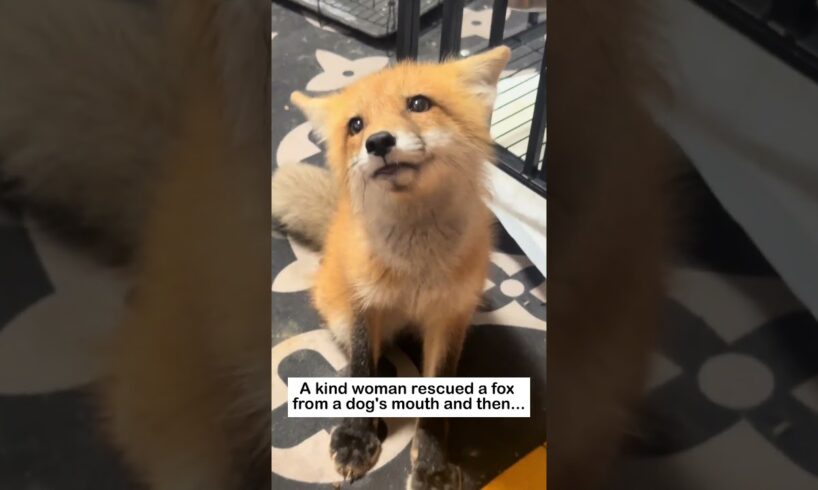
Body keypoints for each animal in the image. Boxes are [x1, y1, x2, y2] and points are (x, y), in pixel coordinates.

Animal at [271, 46, 512, 489]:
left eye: (418, 104)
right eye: (356, 125)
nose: (379, 141)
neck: (415, 266)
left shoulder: (448, 319)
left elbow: (439, 398)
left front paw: (431, 466)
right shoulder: (364, 303)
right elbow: (361, 368)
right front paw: (356, 438)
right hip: (339, 312)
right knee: (362, 358)